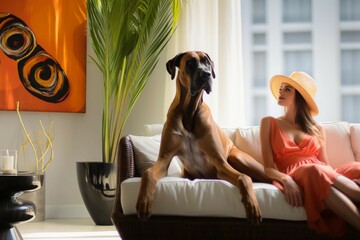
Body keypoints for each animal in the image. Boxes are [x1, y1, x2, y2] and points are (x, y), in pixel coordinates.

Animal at [135, 50, 268, 223]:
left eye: (207, 63)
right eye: (190, 63)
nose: (206, 74)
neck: (189, 112)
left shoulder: (220, 163)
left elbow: (244, 178)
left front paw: (252, 205)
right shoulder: (163, 160)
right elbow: (148, 174)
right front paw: (144, 201)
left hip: (238, 158)